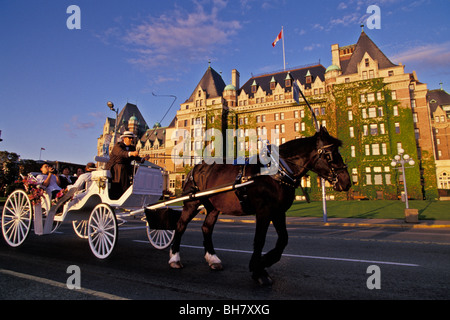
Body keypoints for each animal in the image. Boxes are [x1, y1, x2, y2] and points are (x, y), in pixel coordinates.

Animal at [169, 125, 352, 284]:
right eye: (329, 154)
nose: (346, 181)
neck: (276, 172)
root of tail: (195, 167)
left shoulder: (278, 212)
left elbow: (283, 240)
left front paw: (264, 262)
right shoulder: (263, 211)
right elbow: (259, 240)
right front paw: (258, 270)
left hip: (214, 207)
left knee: (206, 228)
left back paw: (212, 258)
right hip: (192, 202)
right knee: (180, 225)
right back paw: (175, 257)